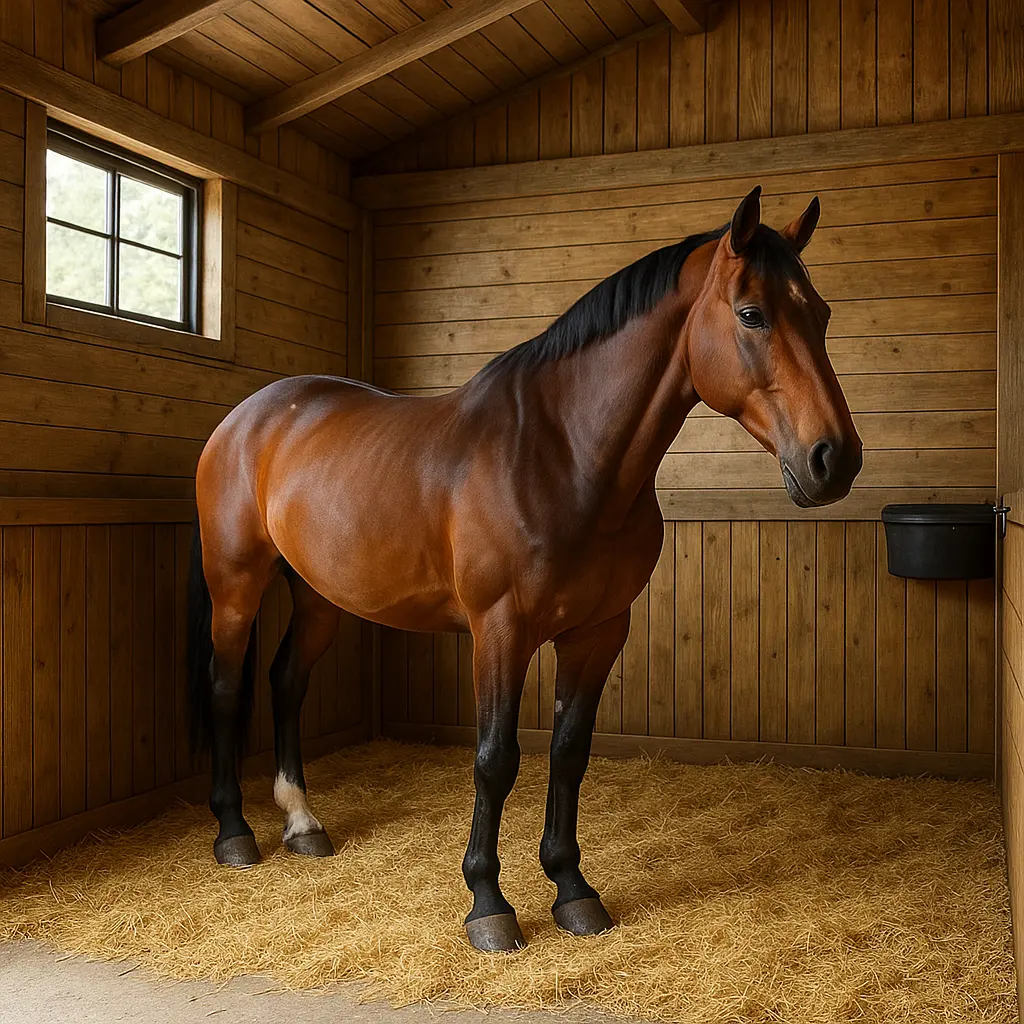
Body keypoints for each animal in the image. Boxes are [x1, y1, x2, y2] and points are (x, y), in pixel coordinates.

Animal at [187, 185, 863, 952]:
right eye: (752, 313)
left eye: (821, 314)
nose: (834, 459)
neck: (563, 455)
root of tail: (249, 417)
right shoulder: (500, 631)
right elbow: (495, 758)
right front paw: (488, 902)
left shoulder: (598, 632)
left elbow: (569, 754)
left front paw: (573, 889)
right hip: (235, 586)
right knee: (226, 688)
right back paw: (234, 833)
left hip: (319, 597)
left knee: (286, 683)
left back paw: (302, 821)